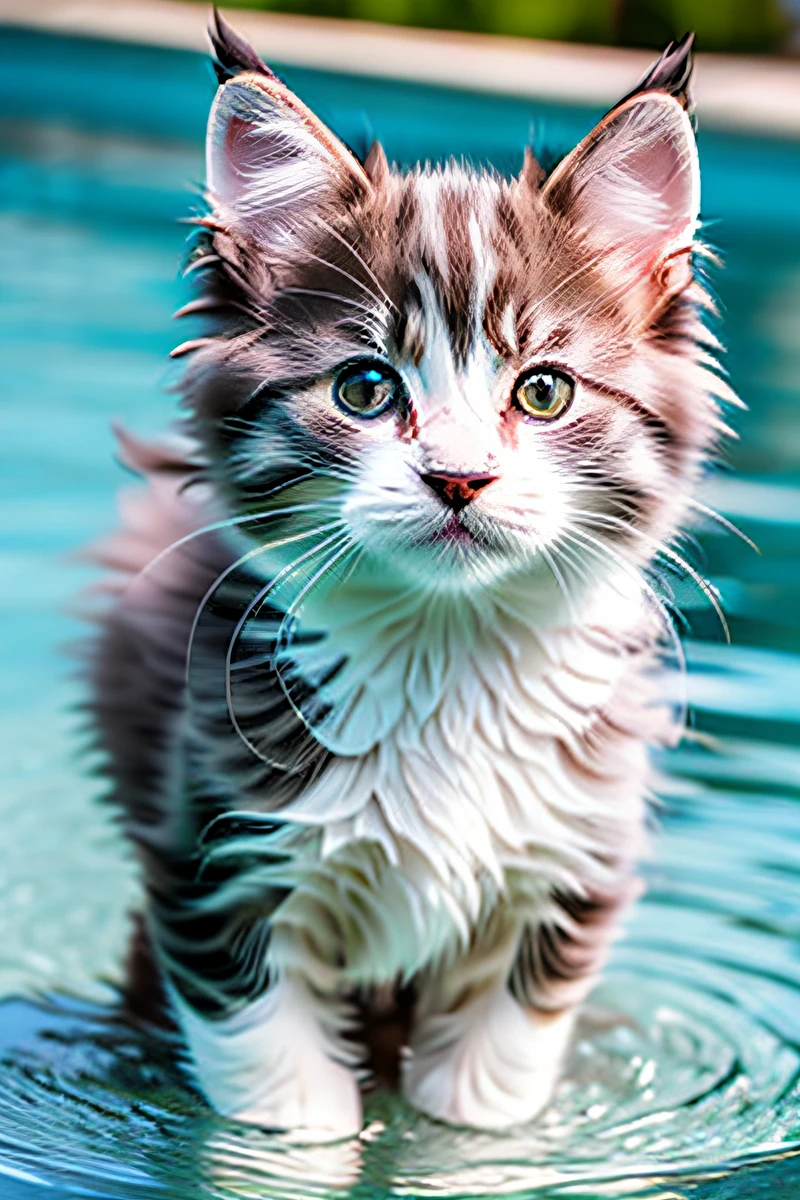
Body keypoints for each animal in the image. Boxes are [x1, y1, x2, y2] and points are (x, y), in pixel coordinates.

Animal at [87, 21, 734, 1142]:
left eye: (543, 391)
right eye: (364, 388)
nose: (458, 475)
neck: (445, 652)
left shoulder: (565, 878)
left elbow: (482, 1111)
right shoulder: (216, 864)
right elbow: (280, 1109)